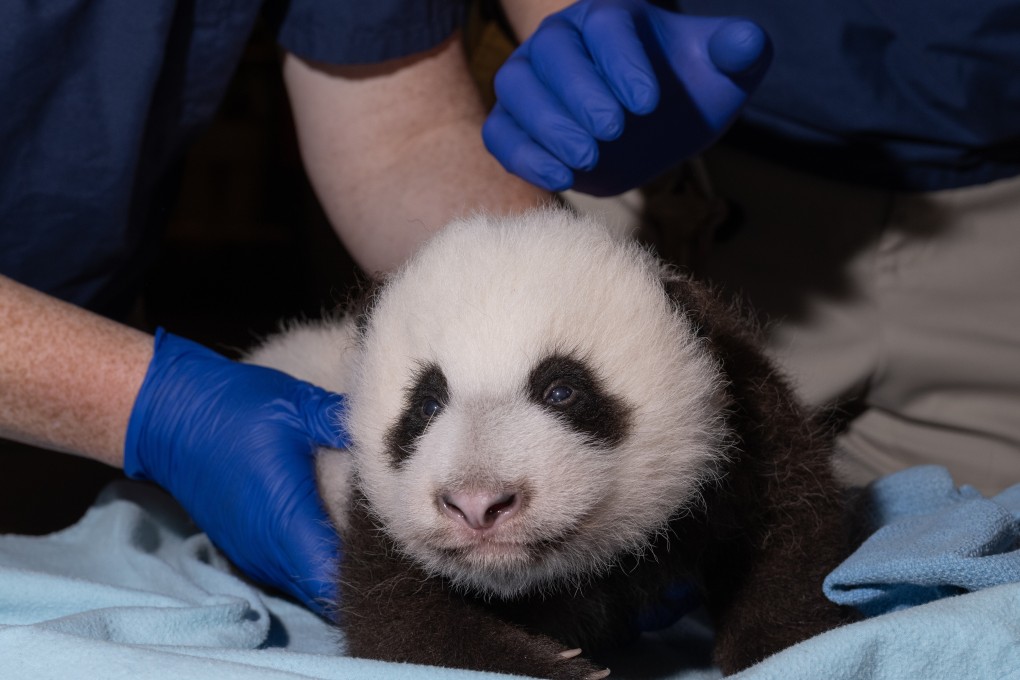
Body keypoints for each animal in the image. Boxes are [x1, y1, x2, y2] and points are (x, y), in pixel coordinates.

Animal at [246, 208, 855, 679]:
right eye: (427, 405)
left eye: (562, 391)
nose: (477, 505)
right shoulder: (376, 511)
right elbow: (396, 623)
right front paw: (561, 665)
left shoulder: (741, 417)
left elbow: (790, 532)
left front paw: (779, 650)